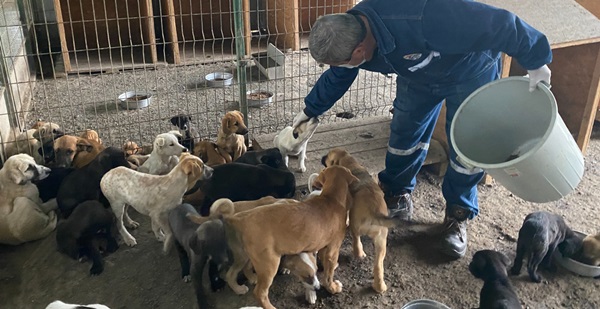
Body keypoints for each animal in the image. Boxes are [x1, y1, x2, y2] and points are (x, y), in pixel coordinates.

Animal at [204, 166, 358, 308]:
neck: (330, 198)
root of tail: (239, 218)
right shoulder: (333, 249)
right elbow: (328, 274)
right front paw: (332, 287)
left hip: (245, 255)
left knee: (234, 273)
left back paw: (242, 285)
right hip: (269, 263)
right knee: (259, 292)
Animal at [322, 147, 400, 292]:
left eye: (328, 156)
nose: (322, 157)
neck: (350, 163)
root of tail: (374, 212)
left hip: (356, 226)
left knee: (356, 239)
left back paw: (359, 253)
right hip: (382, 240)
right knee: (378, 265)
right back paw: (380, 287)